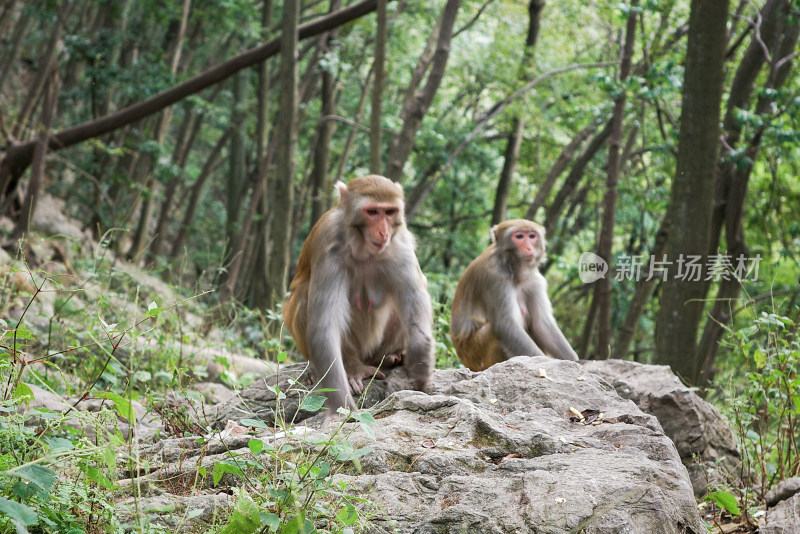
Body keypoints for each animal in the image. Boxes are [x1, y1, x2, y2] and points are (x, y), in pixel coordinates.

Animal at [284, 176, 434, 418]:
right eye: (372, 212)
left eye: (389, 212)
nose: (383, 232)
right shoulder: (330, 246)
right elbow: (325, 329)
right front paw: (340, 406)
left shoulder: (399, 242)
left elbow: (413, 297)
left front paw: (421, 360)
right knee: (305, 295)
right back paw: (352, 368)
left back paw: (391, 356)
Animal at [446, 219, 580, 372]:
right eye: (519, 236)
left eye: (532, 236)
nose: (529, 248)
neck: (515, 271)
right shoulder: (495, 278)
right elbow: (506, 325)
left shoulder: (535, 281)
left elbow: (542, 325)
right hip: (473, 353)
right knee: (492, 331)